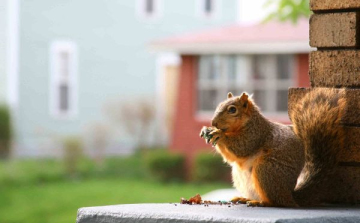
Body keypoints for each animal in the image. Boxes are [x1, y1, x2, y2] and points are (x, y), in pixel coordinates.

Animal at [198, 88, 348, 207]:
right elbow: (231, 158)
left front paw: (219, 134)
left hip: (266, 170)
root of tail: (289, 196)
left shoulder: (255, 135)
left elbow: (241, 147)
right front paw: (206, 130)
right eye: (219, 105)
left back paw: (260, 202)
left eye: (232, 110)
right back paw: (244, 198)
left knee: (274, 202)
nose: (214, 122)